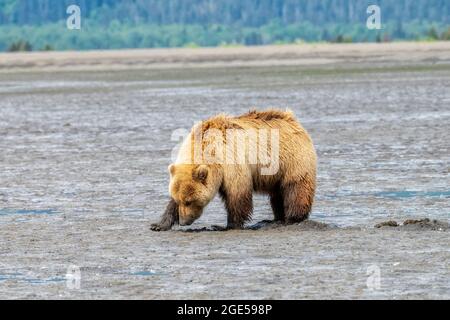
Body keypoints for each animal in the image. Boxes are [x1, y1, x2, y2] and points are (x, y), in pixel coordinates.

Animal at [151, 109, 316, 231]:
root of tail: (292, 119)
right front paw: (159, 225)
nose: (184, 221)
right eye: (180, 200)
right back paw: (277, 218)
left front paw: (226, 225)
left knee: (295, 187)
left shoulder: (231, 161)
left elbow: (237, 194)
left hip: (292, 160)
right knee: (277, 193)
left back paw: (292, 218)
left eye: (189, 201)